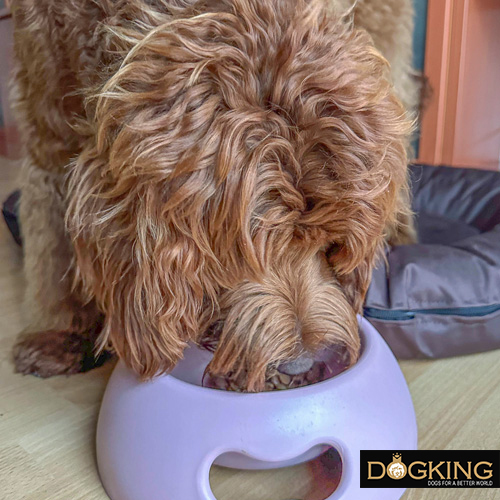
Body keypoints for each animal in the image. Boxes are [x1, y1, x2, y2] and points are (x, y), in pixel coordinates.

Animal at [10, 0, 414, 390]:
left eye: (332, 245)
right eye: (242, 253)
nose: (304, 365)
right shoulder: (46, 119)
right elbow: (49, 238)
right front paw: (55, 333)